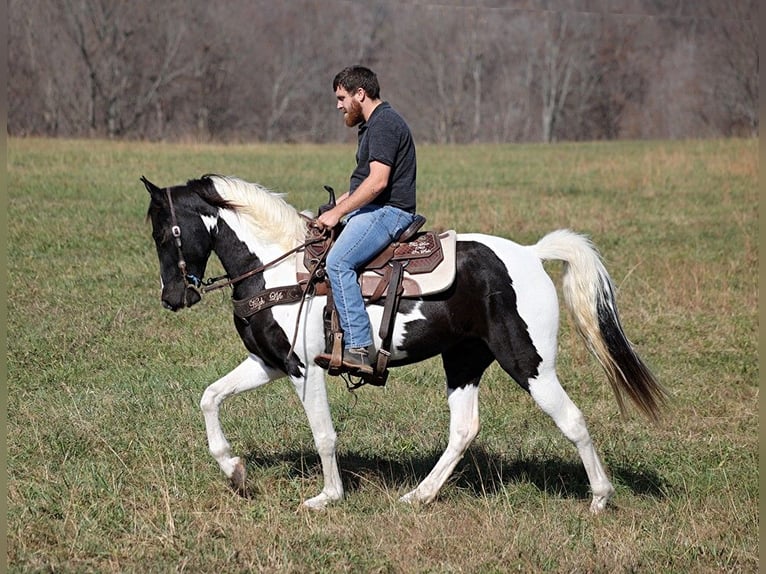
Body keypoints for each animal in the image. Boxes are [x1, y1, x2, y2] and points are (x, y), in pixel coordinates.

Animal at [142, 174, 664, 512]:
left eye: (164, 233)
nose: (172, 297)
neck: (278, 268)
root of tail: (531, 255)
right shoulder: (270, 362)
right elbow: (210, 396)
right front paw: (234, 470)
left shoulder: (304, 369)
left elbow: (324, 434)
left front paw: (326, 498)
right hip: (464, 361)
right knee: (464, 430)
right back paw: (420, 495)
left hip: (528, 362)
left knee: (572, 419)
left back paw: (600, 499)